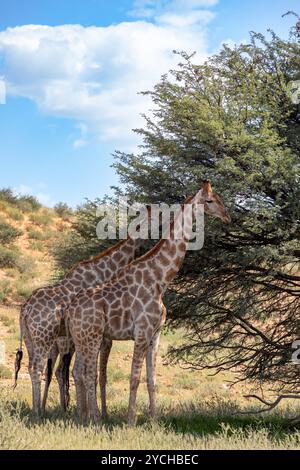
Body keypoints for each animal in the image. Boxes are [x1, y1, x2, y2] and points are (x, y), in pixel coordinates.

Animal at [15, 207, 152, 416]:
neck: (107, 270)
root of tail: (25, 309)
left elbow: (85, 372)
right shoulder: (102, 337)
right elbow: (96, 374)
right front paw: (99, 413)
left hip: (32, 339)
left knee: (36, 368)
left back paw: (40, 409)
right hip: (44, 337)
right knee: (40, 368)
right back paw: (39, 413)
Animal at [65, 182, 230, 428]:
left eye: (218, 197)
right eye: (210, 200)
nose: (227, 216)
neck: (160, 280)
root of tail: (70, 310)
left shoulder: (155, 335)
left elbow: (152, 379)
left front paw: (153, 421)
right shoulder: (141, 332)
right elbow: (134, 378)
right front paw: (130, 421)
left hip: (81, 338)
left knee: (78, 371)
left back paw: (81, 416)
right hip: (92, 336)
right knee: (87, 374)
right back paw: (95, 419)